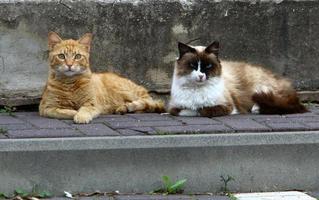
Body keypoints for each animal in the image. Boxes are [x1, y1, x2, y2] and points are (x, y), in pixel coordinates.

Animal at [169, 41, 308, 117]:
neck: (198, 90)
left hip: (259, 88)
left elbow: (203, 110)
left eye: (208, 66)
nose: (201, 76)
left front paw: (200, 109)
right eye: (192, 65)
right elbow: (188, 110)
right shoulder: (174, 108)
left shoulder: (228, 106)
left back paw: (256, 109)